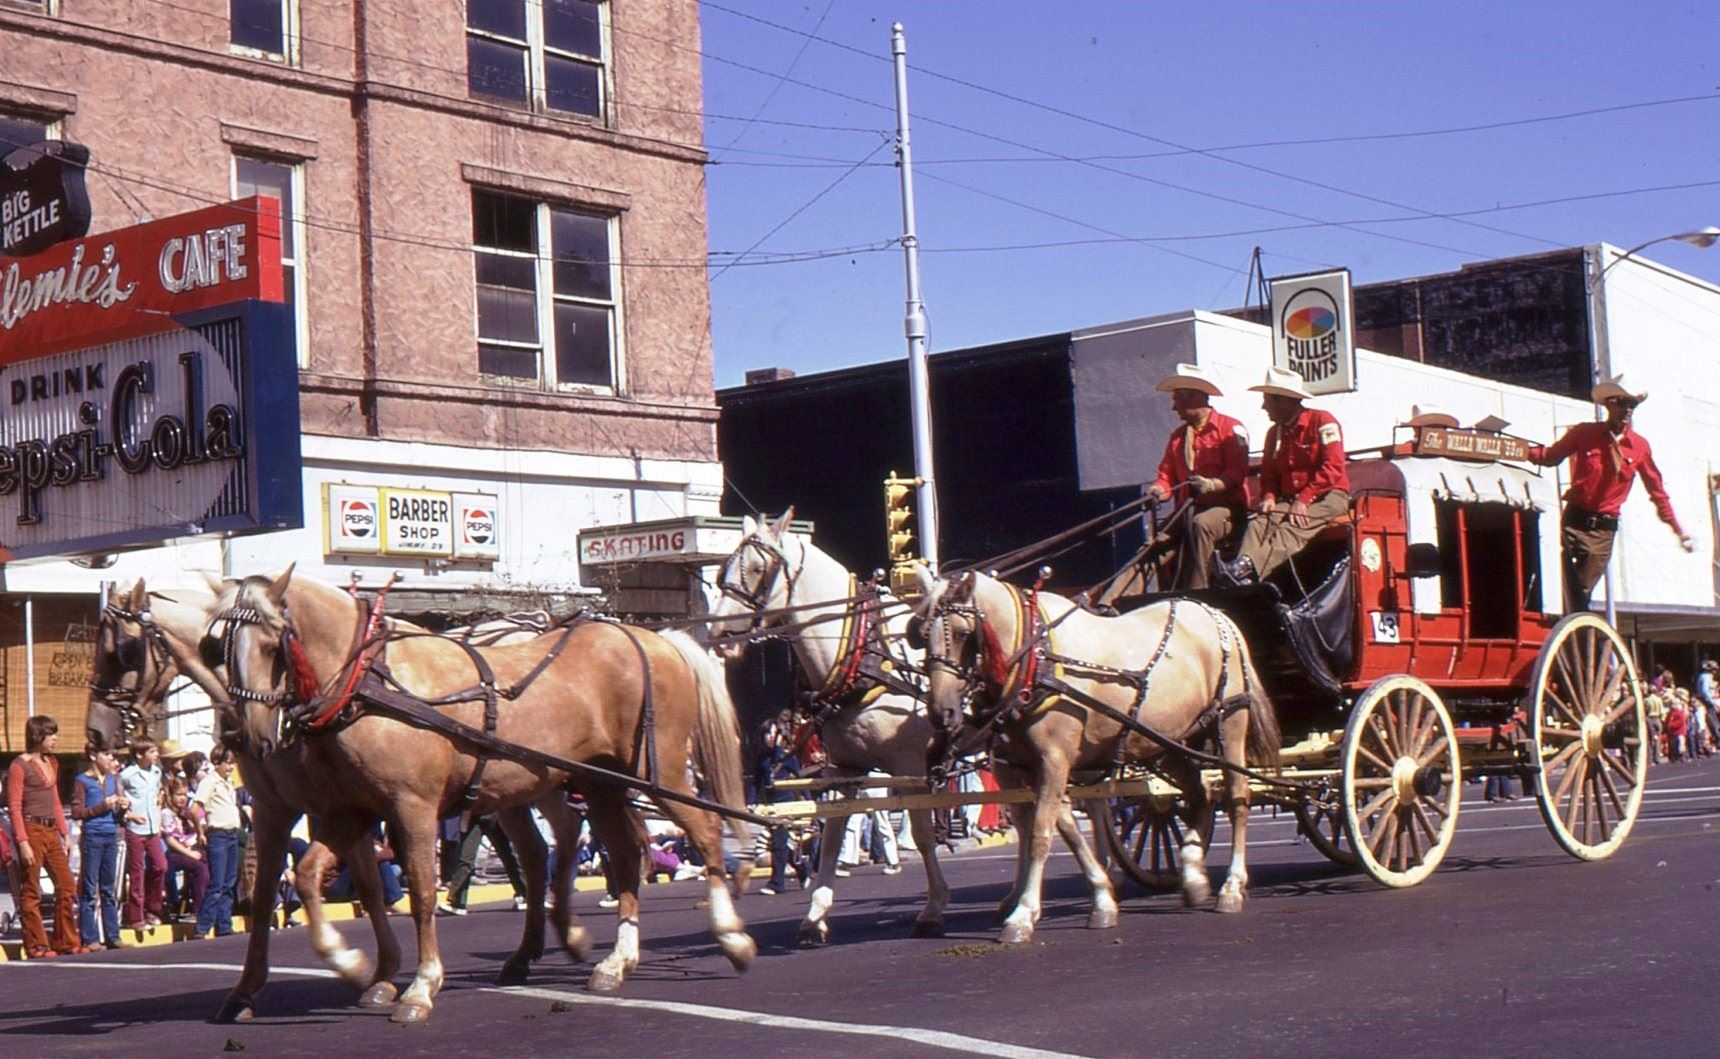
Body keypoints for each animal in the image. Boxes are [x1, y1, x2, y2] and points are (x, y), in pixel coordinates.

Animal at [204, 567, 756, 1024]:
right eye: (219, 648)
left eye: (273, 643)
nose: (248, 737)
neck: (366, 687)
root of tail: (653, 637)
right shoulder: (347, 811)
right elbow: (305, 878)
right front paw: (349, 965)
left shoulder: (411, 807)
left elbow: (422, 892)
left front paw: (418, 986)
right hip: (598, 784)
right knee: (613, 854)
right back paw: (612, 962)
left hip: (657, 773)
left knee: (705, 833)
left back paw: (731, 936)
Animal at [705, 512, 1121, 942]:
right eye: (721, 572)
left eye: (758, 569)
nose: (719, 635)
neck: (862, 653)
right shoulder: (843, 768)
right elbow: (834, 833)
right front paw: (815, 915)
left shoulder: (910, 767)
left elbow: (921, 835)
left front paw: (933, 908)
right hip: (1013, 756)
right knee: (1043, 815)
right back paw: (1041, 893)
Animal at [915, 570, 1279, 942]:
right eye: (921, 634)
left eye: (962, 633)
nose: (941, 713)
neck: (1036, 660)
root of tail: (1216, 614)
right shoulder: (1032, 766)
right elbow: (1067, 829)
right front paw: (1102, 898)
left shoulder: (1054, 760)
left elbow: (1040, 833)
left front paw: (1023, 914)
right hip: (1166, 741)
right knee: (1200, 793)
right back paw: (1192, 872)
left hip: (1229, 721)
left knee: (1236, 796)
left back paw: (1231, 886)